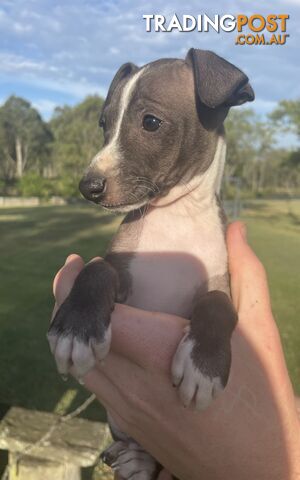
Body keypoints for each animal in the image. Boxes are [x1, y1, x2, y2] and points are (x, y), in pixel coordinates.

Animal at [48, 48, 254, 480]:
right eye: (104, 124)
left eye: (151, 122)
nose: (87, 187)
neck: (175, 218)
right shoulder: (121, 274)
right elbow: (97, 268)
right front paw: (76, 329)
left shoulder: (219, 283)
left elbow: (217, 306)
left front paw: (203, 366)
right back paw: (136, 459)